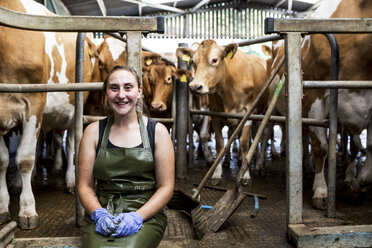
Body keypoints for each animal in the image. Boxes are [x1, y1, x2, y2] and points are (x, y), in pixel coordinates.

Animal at [0, 0, 94, 229]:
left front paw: (27, 210)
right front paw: (3, 207)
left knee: (72, 145)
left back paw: (70, 180)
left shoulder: (34, 102)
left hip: (76, 108)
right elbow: (3, 159)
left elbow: (25, 158)